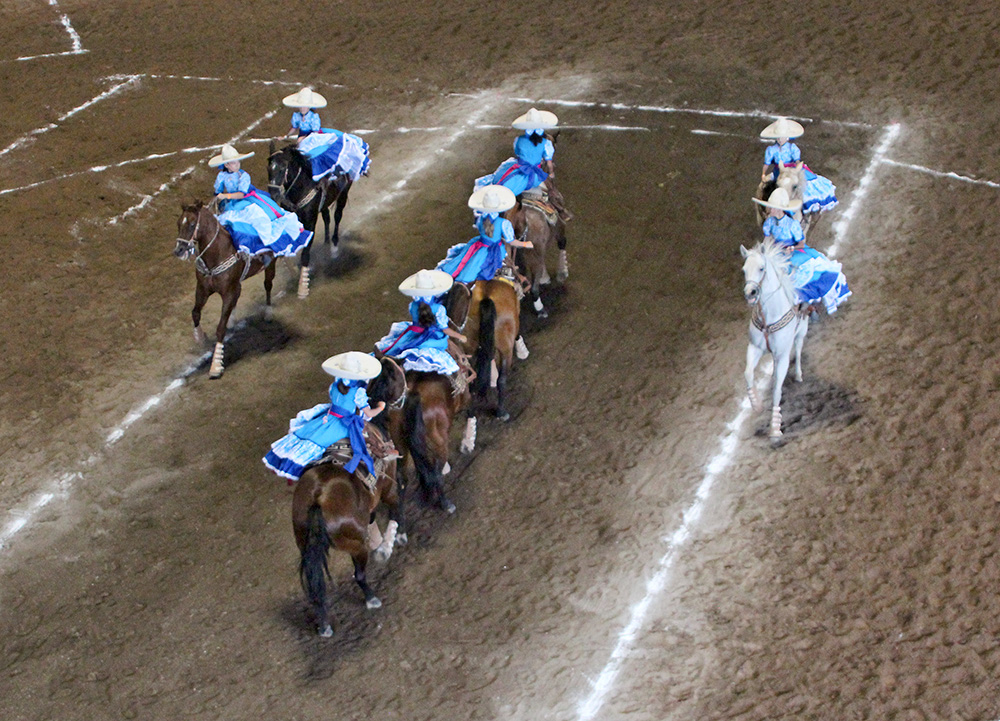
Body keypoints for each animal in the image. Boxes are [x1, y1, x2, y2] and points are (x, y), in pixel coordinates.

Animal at [172, 197, 274, 376]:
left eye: (192, 224)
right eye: (179, 223)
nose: (179, 250)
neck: (217, 254)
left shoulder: (228, 292)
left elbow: (220, 328)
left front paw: (216, 365)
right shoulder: (203, 289)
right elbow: (195, 313)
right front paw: (201, 338)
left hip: (270, 265)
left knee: (268, 285)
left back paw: (268, 312)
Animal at [268, 141, 354, 298]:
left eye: (282, 168)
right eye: (269, 168)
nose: (273, 192)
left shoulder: (309, 222)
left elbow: (305, 253)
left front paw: (303, 286)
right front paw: (293, 270)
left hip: (343, 193)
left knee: (337, 216)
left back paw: (334, 247)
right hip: (324, 204)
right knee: (326, 217)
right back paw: (326, 243)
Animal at [292, 354, 408, 636]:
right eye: (399, 371)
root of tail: (317, 499)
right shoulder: (389, 488)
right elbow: (397, 507)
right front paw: (400, 535)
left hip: (304, 543)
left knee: (316, 587)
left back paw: (324, 624)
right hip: (355, 545)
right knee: (359, 575)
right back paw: (371, 598)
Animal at [740, 240, 808, 438]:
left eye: (761, 268)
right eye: (744, 270)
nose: (750, 293)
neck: (768, 317)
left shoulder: (783, 355)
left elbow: (777, 390)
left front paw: (775, 428)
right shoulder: (754, 347)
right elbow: (748, 373)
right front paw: (756, 405)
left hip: (801, 332)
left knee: (798, 351)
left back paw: (799, 375)